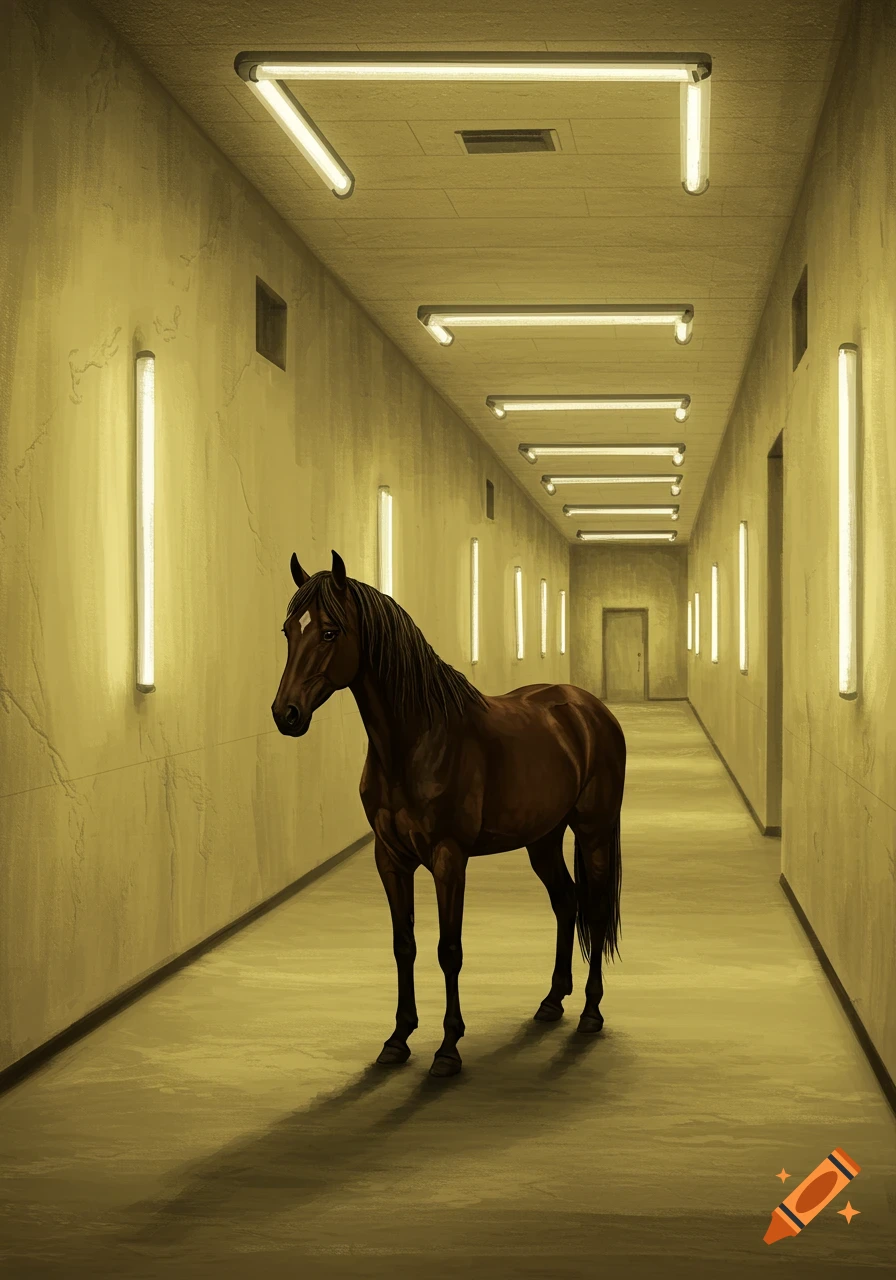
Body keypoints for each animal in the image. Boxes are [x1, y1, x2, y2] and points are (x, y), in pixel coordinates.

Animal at [271, 550, 626, 1078]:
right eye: (288, 631)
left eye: (330, 632)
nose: (285, 714)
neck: (415, 741)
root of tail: (588, 708)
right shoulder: (389, 858)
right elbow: (404, 945)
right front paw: (397, 1039)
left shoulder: (448, 858)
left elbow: (448, 950)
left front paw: (448, 1048)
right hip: (542, 838)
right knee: (566, 901)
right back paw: (551, 1002)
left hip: (594, 831)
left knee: (595, 908)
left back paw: (590, 1012)